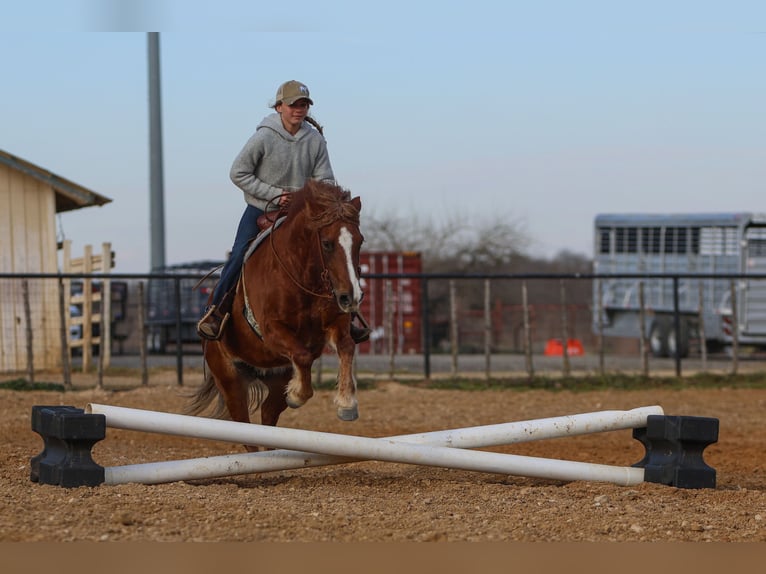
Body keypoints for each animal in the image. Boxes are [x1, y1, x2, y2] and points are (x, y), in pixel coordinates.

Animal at [188, 181, 364, 450]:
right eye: (327, 243)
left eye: (360, 242)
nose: (350, 297)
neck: (299, 274)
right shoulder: (272, 330)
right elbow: (302, 356)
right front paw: (297, 395)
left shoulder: (333, 325)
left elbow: (345, 347)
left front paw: (346, 404)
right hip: (229, 379)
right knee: (244, 426)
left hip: (277, 377)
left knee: (268, 416)